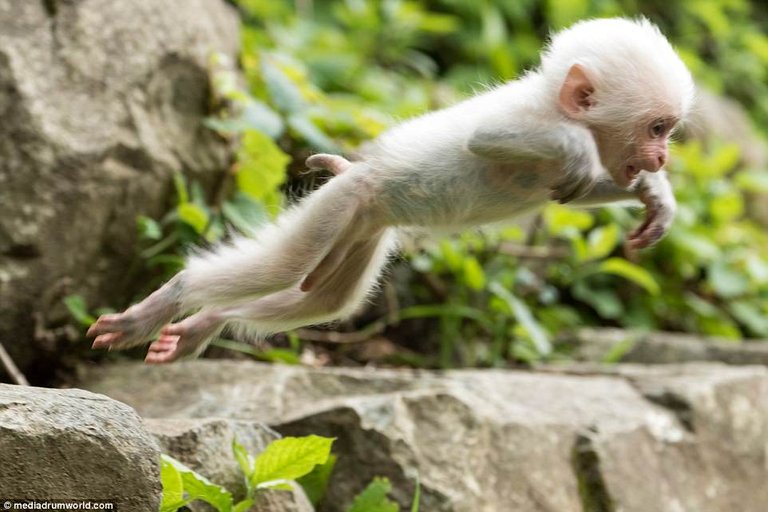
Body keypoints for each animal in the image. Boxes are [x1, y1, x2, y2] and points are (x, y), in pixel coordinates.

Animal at [90, 17, 696, 364]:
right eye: (657, 127)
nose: (663, 156)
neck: (560, 110)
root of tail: (356, 176)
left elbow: (591, 185)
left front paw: (655, 197)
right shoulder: (529, 116)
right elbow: (487, 137)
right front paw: (586, 155)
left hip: (362, 229)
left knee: (325, 298)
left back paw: (205, 325)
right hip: (343, 203)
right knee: (285, 268)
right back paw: (169, 301)